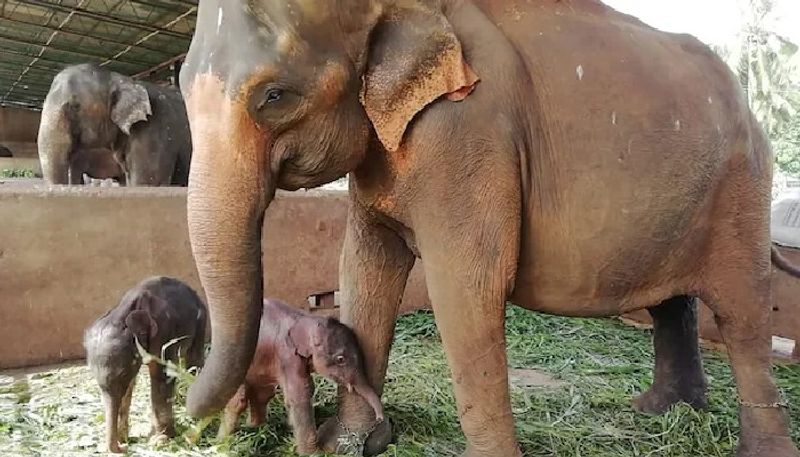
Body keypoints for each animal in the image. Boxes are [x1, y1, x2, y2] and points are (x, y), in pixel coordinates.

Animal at [83, 274, 208, 452]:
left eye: (122, 372)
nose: (123, 448)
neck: (123, 314)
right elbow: (130, 385)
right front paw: (125, 438)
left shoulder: (164, 331)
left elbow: (161, 377)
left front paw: (160, 441)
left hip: (201, 321)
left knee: (193, 361)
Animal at [217, 298, 382, 454]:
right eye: (340, 359)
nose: (380, 419)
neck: (306, 319)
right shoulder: (287, 356)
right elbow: (300, 395)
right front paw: (313, 453)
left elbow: (307, 388)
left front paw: (291, 429)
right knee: (238, 400)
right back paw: (222, 442)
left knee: (262, 394)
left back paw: (255, 427)